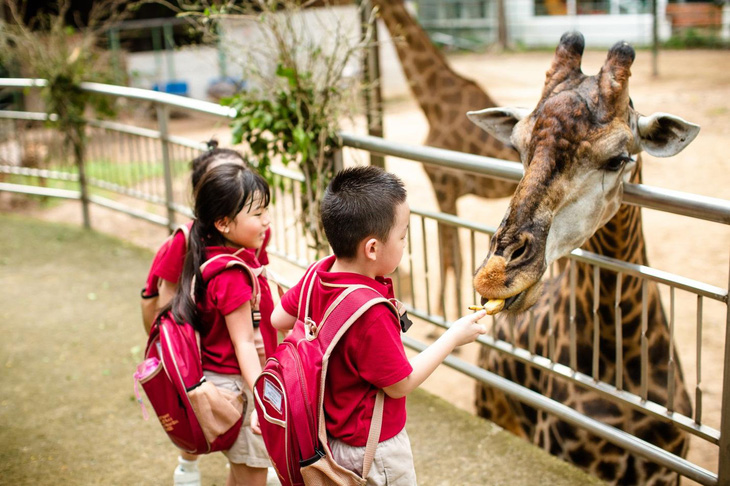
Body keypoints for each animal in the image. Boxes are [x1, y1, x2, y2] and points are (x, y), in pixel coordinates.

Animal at [370, 0, 516, 312]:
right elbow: (450, 255)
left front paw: (445, 315)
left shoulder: (444, 186)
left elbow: (453, 259)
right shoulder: (446, 193)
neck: (432, 104)